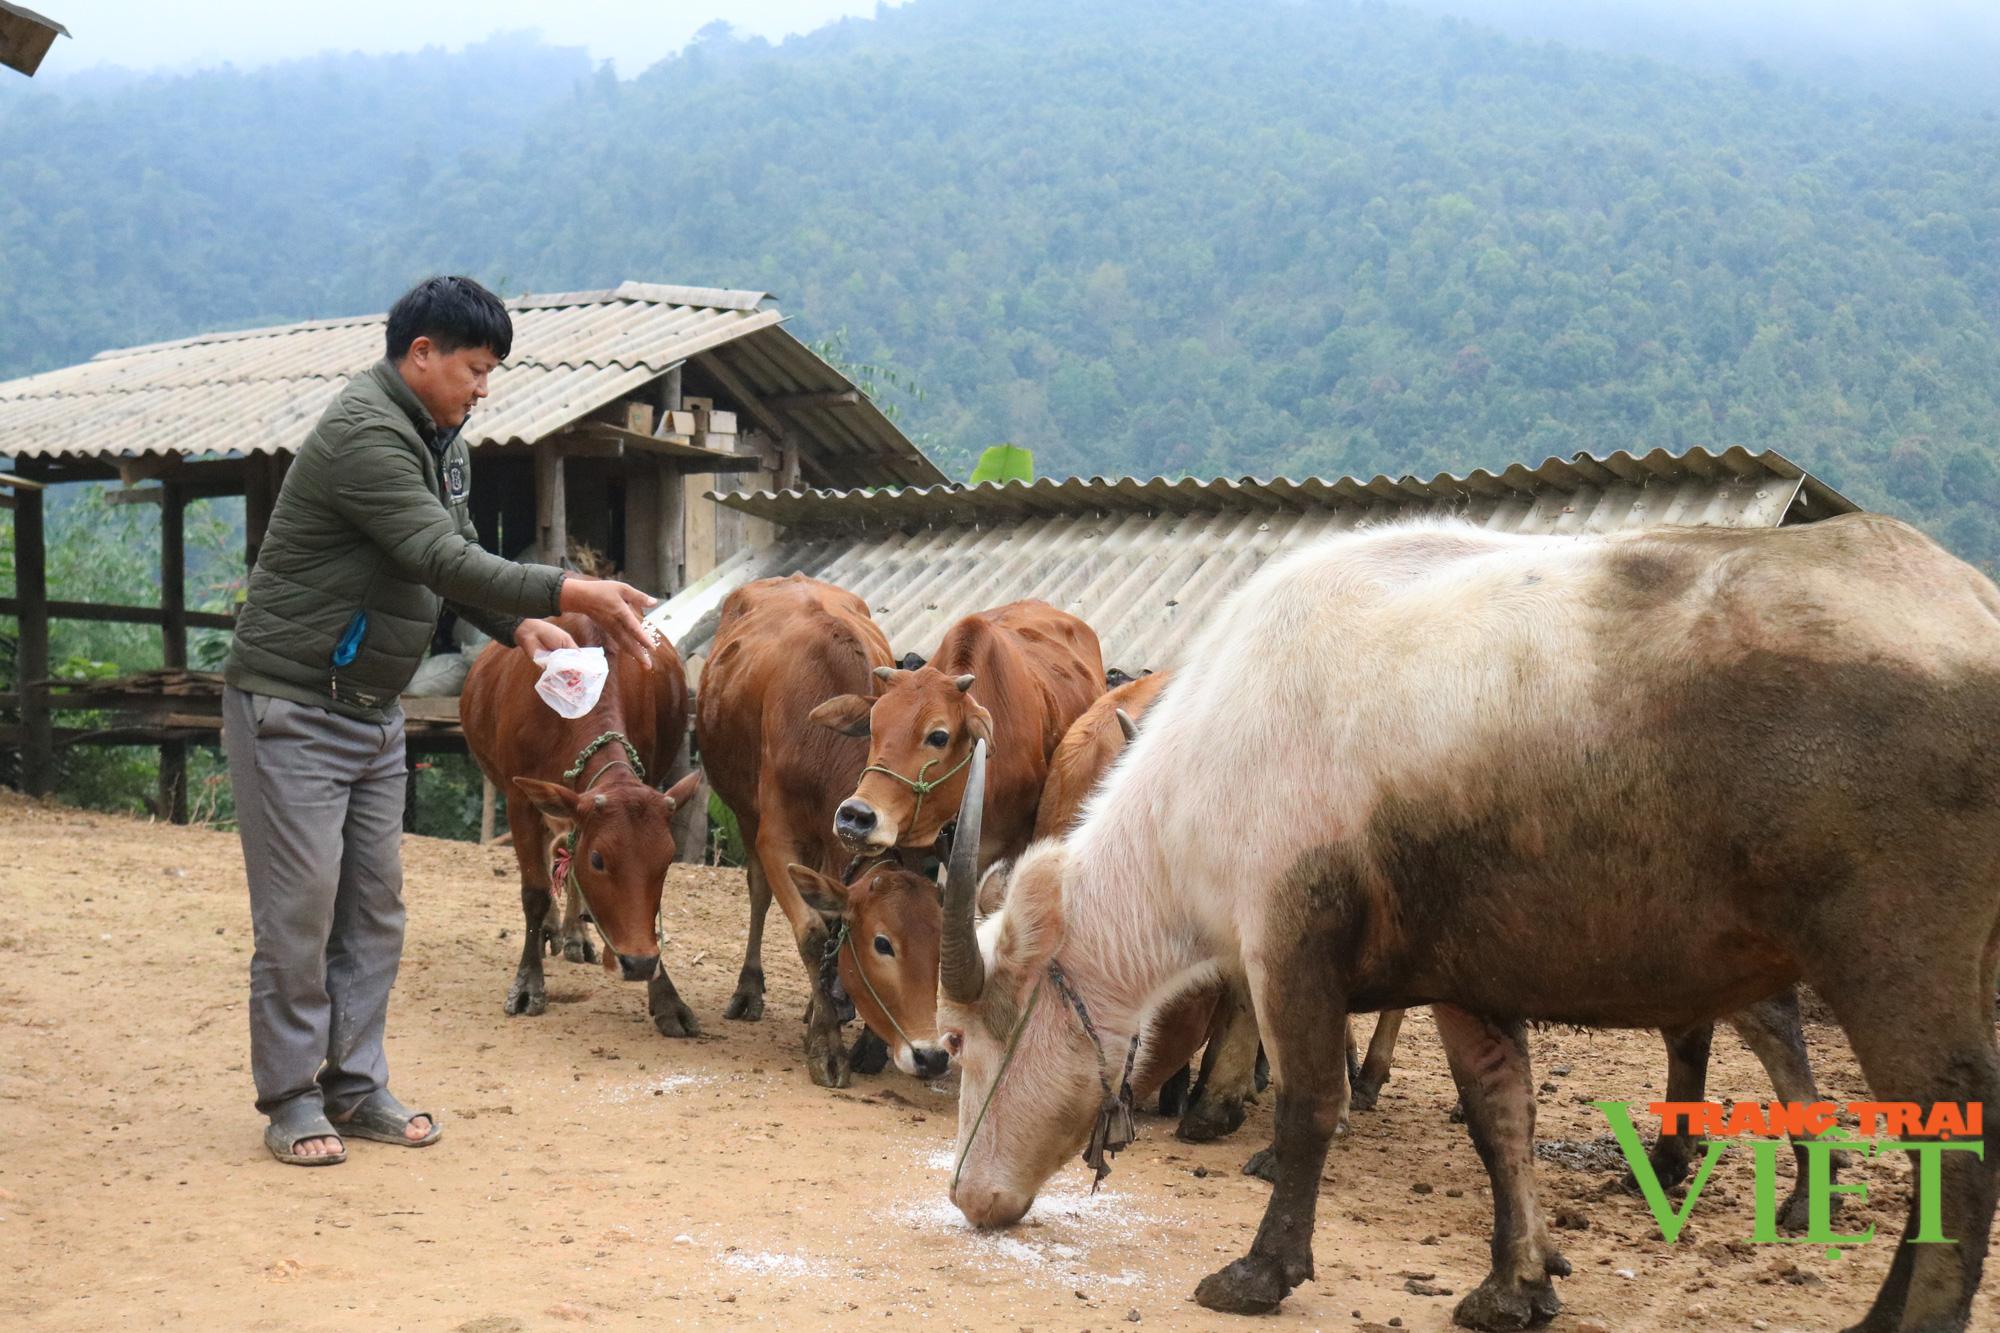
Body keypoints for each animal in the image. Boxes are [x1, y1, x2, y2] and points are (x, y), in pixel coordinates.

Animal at [460, 612, 704, 1040]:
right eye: (599, 860)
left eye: (667, 860)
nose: (639, 963)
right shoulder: (521, 800)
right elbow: (535, 892)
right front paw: (528, 985)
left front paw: (667, 1000)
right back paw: (552, 930)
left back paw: (575, 935)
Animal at [700, 572, 948, 1080]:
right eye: (882, 944)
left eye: (938, 948)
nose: (931, 1056)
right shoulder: (775, 838)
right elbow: (813, 933)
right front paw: (826, 1045)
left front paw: (851, 1034)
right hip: (744, 812)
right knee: (760, 892)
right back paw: (750, 990)